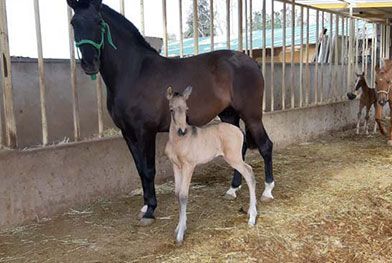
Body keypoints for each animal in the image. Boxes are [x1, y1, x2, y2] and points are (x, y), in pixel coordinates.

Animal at [66, 0, 272, 227]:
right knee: (240, 149)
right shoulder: (128, 133)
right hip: (229, 115)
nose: (89, 64)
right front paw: (145, 206)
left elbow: (149, 169)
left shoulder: (145, 131)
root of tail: (251, 61)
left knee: (265, 145)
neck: (134, 73)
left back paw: (268, 191)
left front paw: (150, 211)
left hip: (252, 115)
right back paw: (232, 189)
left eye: (99, 22)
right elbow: (140, 169)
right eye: (74, 23)